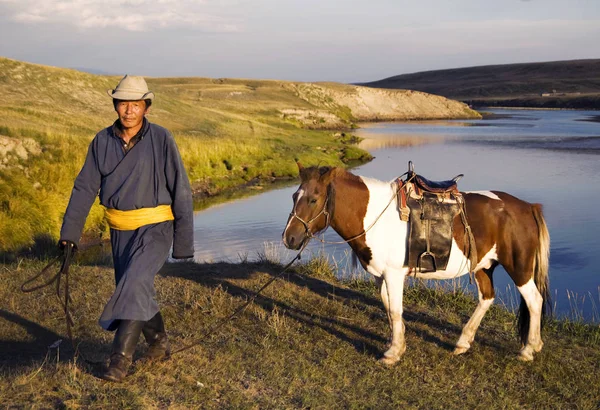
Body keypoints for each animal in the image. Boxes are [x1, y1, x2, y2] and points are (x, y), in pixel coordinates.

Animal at [284, 162, 552, 364]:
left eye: (313, 199)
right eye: (294, 196)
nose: (290, 238)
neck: (375, 216)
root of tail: (527, 208)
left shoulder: (393, 275)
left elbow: (395, 309)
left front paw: (392, 353)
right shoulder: (381, 276)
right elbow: (388, 307)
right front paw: (398, 344)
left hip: (518, 269)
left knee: (534, 301)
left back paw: (529, 348)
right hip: (483, 267)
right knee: (487, 298)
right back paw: (463, 342)